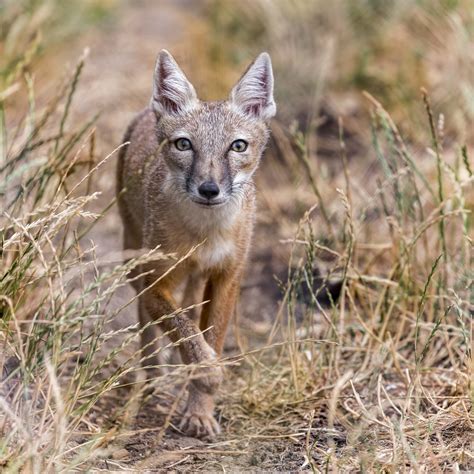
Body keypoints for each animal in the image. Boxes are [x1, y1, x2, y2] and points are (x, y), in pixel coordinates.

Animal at [116, 48, 276, 436]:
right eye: (184, 144)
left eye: (237, 146)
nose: (208, 189)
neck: (205, 234)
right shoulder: (155, 282)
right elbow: (187, 334)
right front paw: (207, 372)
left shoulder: (227, 276)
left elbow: (209, 336)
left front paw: (200, 409)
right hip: (135, 263)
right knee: (148, 324)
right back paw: (155, 375)